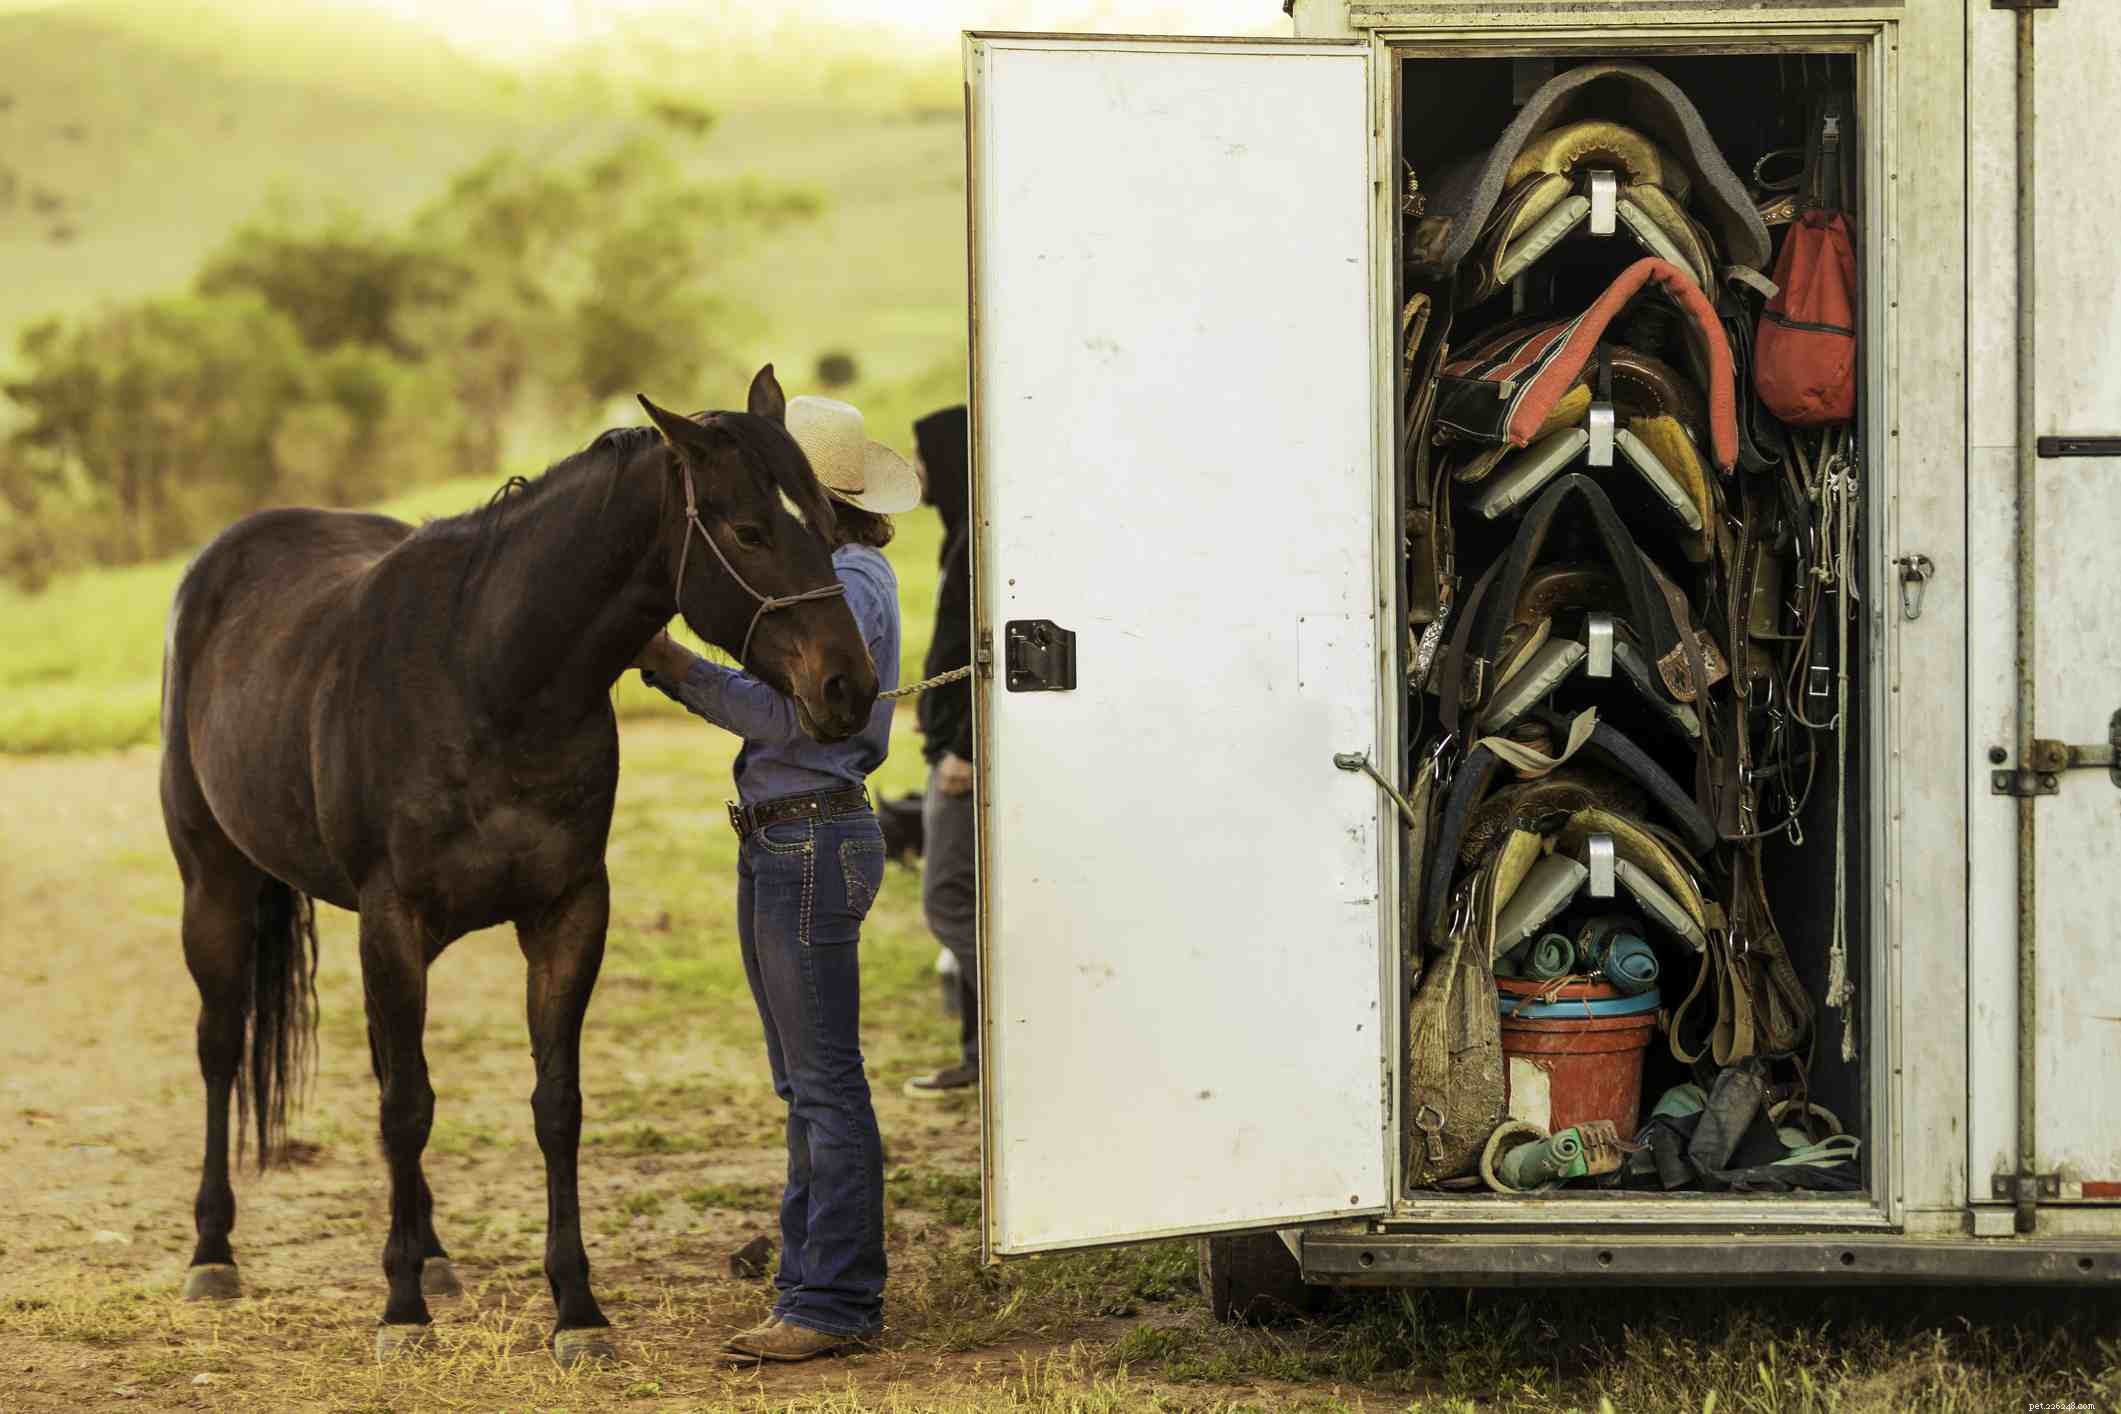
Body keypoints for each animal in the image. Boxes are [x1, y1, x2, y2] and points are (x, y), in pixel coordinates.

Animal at [157, 365, 878, 1364]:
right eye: (748, 531)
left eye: (825, 521)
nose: (848, 688)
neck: (487, 677)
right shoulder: (394, 921)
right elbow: (409, 1108)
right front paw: (400, 1314)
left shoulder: (567, 913)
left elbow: (552, 1105)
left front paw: (576, 1310)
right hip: (215, 885)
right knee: (223, 1048)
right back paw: (214, 1254)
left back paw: (431, 1256)